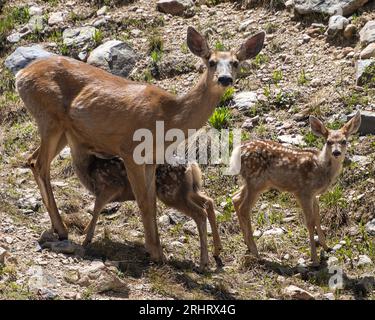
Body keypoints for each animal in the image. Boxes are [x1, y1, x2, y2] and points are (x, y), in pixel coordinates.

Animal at [16, 26, 266, 262]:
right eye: (211, 61)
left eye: (235, 62)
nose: (224, 79)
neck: (169, 116)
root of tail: (20, 76)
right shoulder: (130, 150)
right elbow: (144, 201)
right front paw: (155, 252)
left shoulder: (152, 159)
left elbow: (152, 202)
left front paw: (156, 249)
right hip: (49, 118)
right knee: (40, 164)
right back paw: (62, 229)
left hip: (62, 131)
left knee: (32, 159)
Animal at [231, 112, 362, 264]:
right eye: (328, 141)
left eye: (344, 141)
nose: (336, 152)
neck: (320, 167)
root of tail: (236, 153)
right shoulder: (303, 192)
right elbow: (310, 222)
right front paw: (314, 259)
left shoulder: (314, 194)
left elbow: (318, 217)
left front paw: (326, 247)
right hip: (256, 181)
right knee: (244, 208)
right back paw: (256, 252)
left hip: (254, 183)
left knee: (235, 198)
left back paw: (247, 244)